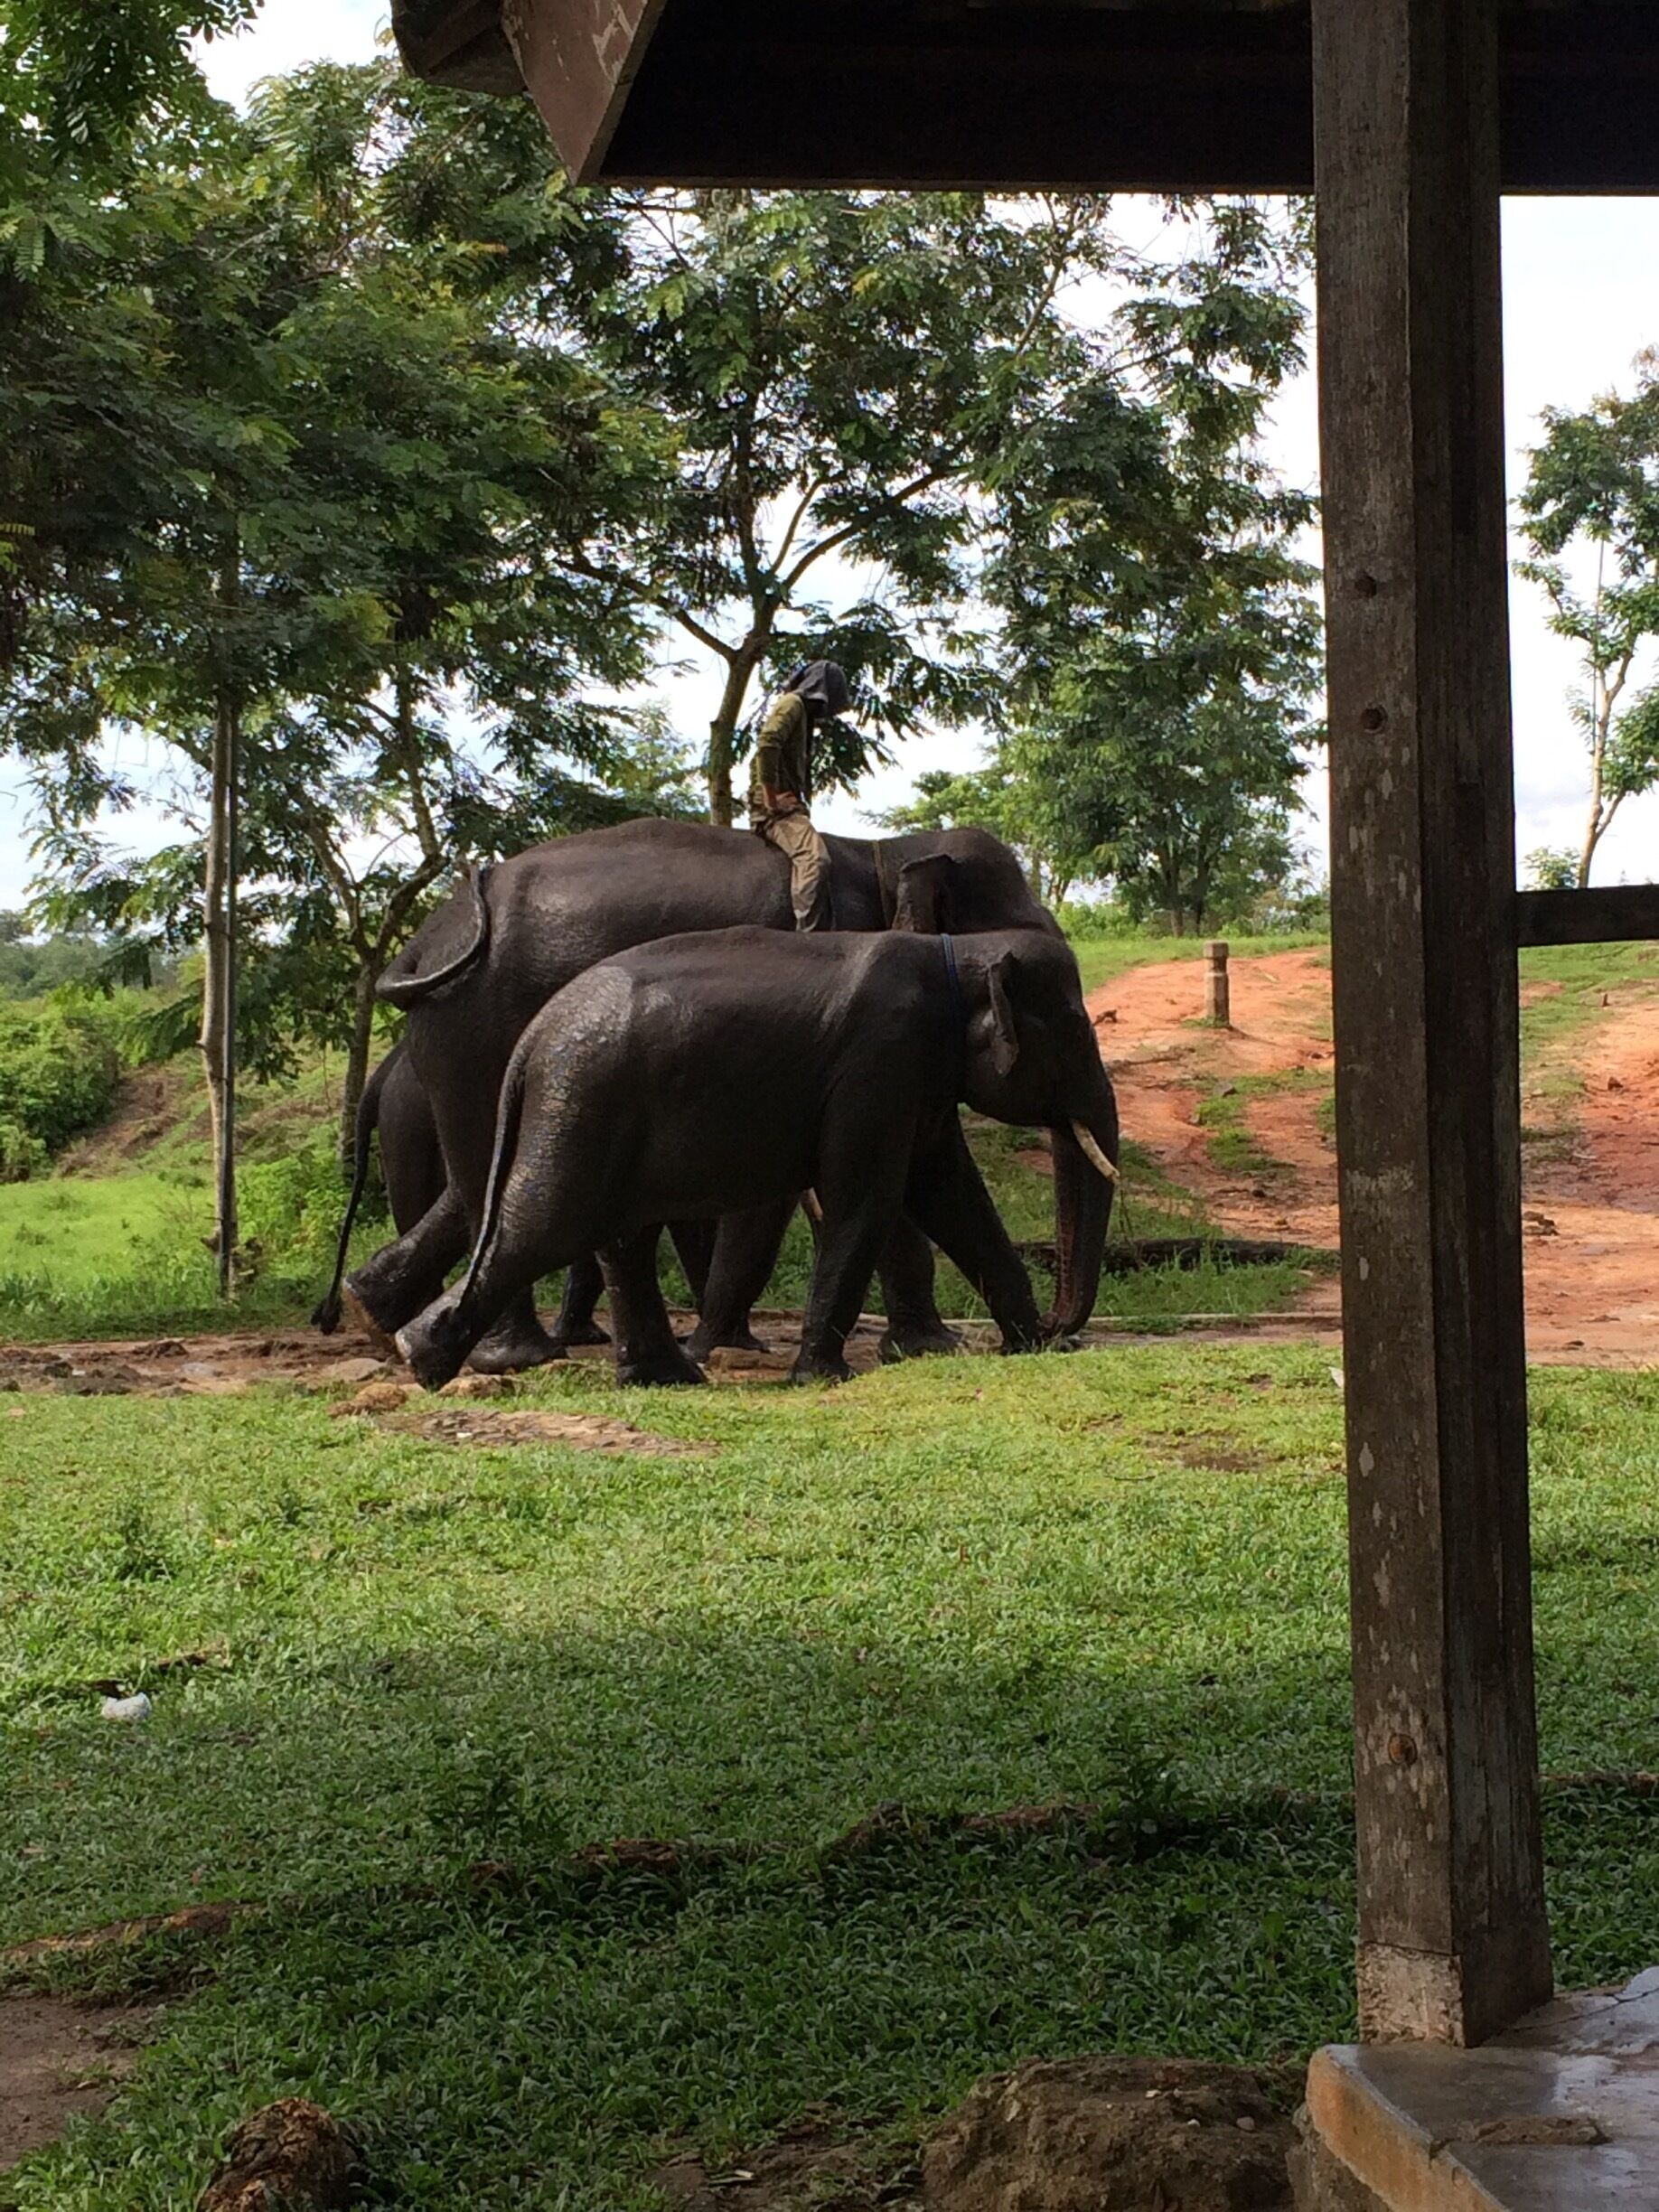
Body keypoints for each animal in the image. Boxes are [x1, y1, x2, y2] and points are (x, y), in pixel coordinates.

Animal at [334, 819, 1063, 1365]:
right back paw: (515, 1356)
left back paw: (374, 1315)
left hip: (454, 1035)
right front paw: (924, 1348)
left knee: (483, 1178)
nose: (1061, 1330)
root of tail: (429, 940)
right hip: (474, 1029)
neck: (885, 848)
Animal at [396, 922, 1121, 1392]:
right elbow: (870, 1198)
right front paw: (821, 1378)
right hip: (582, 1099)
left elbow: (951, 1195)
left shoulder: (920, 1078)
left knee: (617, 1235)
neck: (958, 951)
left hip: (592, 1109)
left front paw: (1027, 1346)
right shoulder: (880, 1061)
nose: (1061, 1329)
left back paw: (666, 1379)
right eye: (1075, 1034)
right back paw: (421, 1359)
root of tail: (531, 1039)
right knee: (548, 1221)